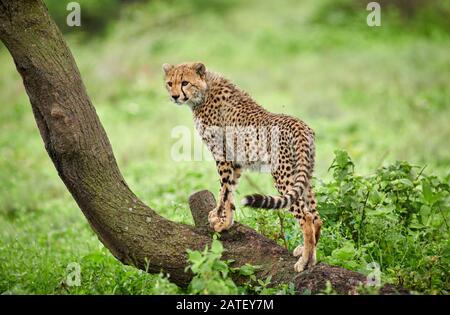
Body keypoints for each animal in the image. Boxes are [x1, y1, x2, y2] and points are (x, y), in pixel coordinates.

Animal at [163, 61, 322, 272]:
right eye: (170, 83)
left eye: (185, 83)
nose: (174, 96)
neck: (204, 91)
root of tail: (301, 125)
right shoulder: (236, 160)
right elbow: (230, 191)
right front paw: (224, 221)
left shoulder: (222, 155)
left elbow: (224, 190)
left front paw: (219, 220)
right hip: (303, 175)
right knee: (317, 216)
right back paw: (309, 255)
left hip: (283, 174)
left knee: (306, 217)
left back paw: (304, 261)